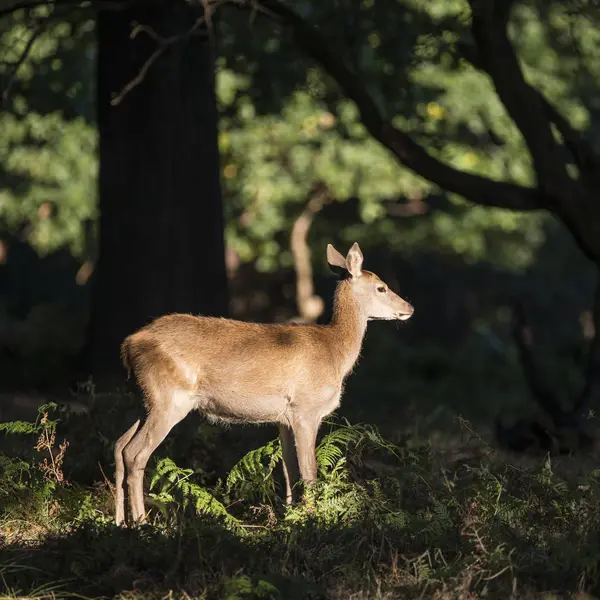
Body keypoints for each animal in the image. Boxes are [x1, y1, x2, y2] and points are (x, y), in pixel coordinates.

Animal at [113, 244, 412, 524]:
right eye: (382, 287)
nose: (409, 308)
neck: (336, 352)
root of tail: (128, 344)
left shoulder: (284, 418)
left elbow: (289, 469)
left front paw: (290, 516)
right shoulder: (306, 408)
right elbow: (309, 470)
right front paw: (313, 518)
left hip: (145, 400)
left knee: (119, 445)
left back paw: (119, 521)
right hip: (169, 399)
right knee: (135, 453)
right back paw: (141, 521)